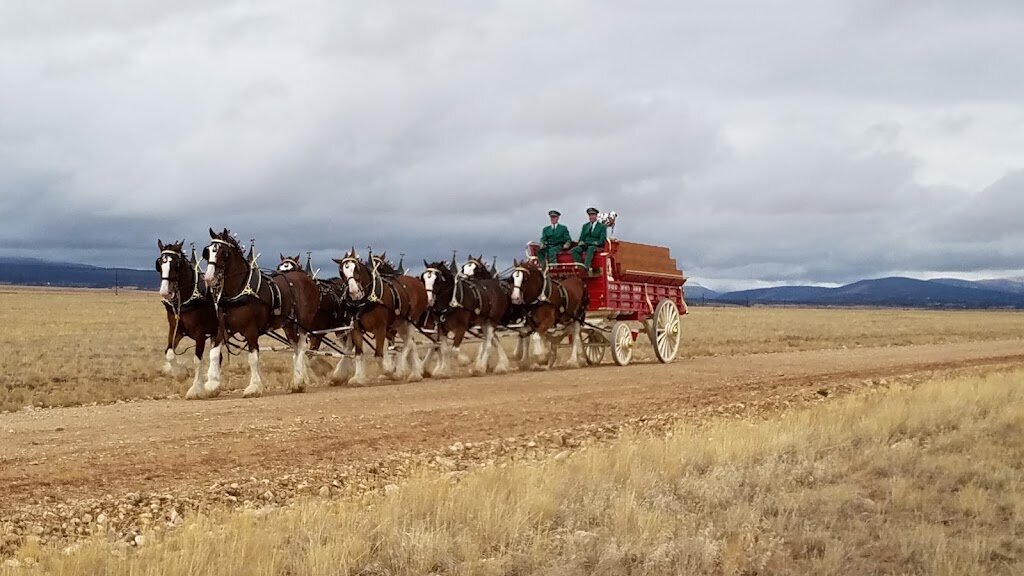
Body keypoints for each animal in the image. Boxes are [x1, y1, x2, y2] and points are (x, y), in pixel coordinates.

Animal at [156, 239, 223, 399]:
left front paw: (195, 389)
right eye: (159, 263)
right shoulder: (176, 329)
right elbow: (169, 353)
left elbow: (197, 360)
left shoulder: (200, 334)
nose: (165, 292)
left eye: (176, 264)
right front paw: (181, 374)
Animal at [202, 228, 320, 397]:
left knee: (302, 347)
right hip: (289, 325)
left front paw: (254, 387)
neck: (239, 291)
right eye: (207, 252)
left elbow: (253, 357)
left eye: (224, 252)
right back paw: (297, 381)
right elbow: (214, 353)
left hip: (303, 323)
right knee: (296, 348)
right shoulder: (224, 328)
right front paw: (211, 385)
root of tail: (307, 279)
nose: (209, 277)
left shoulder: (251, 330)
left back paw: (298, 382)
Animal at [332, 249, 427, 385]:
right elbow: (359, 355)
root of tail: (417, 282)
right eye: (341, 271)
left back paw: (400, 370)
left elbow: (379, 356)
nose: (354, 292)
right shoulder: (355, 329)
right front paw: (358, 378)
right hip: (401, 324)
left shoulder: (381, 329)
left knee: (408, 343)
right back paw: (415, 374)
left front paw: (390, 371)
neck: (366, 300)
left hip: (410, 321)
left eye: (357, 268)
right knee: (411, 343)